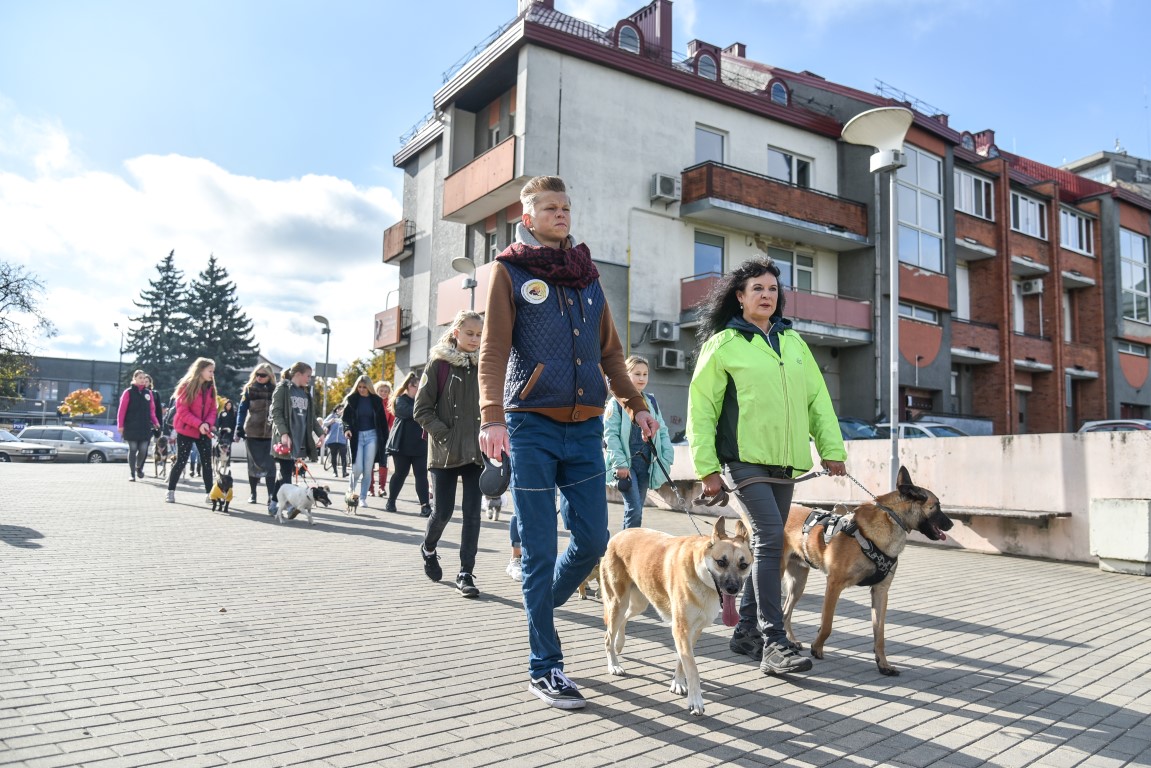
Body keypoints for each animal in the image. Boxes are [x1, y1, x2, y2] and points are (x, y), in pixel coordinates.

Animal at [601, 516, 752, 716]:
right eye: (721, 562)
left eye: (743, 565)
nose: (733, 589)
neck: (699, 574)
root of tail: (619, 535)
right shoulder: (681, 629)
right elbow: (692, 668)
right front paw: (696, 700)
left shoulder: (693, 631)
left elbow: (682, 660)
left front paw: (678, 682)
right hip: (618, 602)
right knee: (608, 635)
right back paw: (613, 664)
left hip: (639, 603)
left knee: (624, 620)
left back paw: (619, 643)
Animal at [781, 465, 953, 676]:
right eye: (937, 505)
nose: (952, 523)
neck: (890, 521)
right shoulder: (834, 584)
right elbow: (827, 624)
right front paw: (817, 647)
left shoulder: (880, 592)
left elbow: (880, 634)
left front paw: (883, 664)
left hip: (798, 583)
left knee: (784, 612)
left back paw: (790, 640)